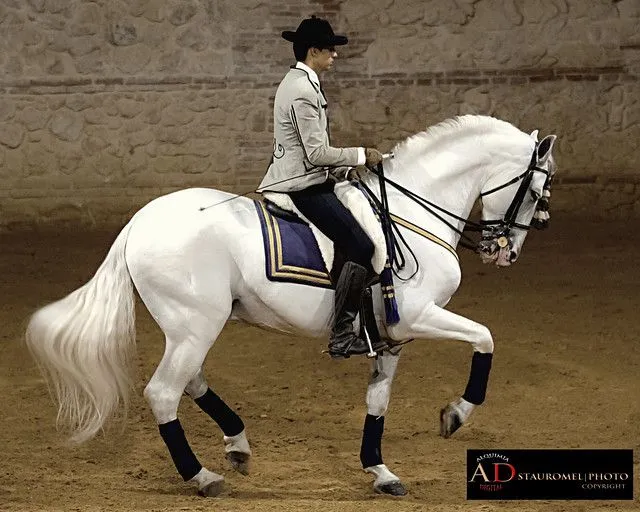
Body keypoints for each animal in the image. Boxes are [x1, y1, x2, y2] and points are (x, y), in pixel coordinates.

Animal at [25, 115, 556, 496]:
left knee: (190, 382)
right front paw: (456, 414)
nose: (505, 252)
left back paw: (237, 445)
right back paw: (202, 476)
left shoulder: (391, 337)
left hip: (189, 328)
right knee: (163, 393)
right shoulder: (419, 316)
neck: (411, 211)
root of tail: (138, 222)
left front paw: (380, 471)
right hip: (196, 325)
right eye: (534, 192)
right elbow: (485, 337)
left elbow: (378, 402)